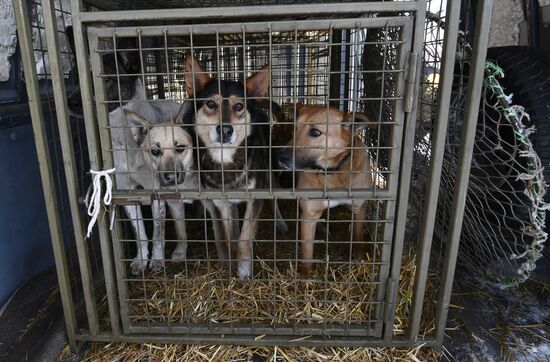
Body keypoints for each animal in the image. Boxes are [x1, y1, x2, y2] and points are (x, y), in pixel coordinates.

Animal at [276, 104, 376, 274]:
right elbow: (307, 255)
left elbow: (358, 238)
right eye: (294, 128)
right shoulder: (309, 216)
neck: (332, 173)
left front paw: (359, 258)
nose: (280, 156)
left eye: (315, 132)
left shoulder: (359, 206)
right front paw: (306, 277)